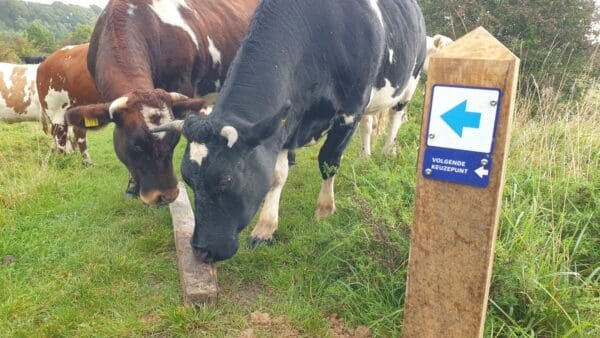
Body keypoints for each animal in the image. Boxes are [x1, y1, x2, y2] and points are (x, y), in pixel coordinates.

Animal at [155, 0, 426, 262]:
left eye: (226, 180)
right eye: (188, 179)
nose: (201, 251)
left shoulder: (350, 109)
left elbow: (328, 161)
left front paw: (324, 210)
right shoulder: (284, 126)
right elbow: (276, 176)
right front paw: (265, 228)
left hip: (411, 80)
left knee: (396, 117)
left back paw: (387, 151)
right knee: (368, 125)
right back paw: (364, 157)